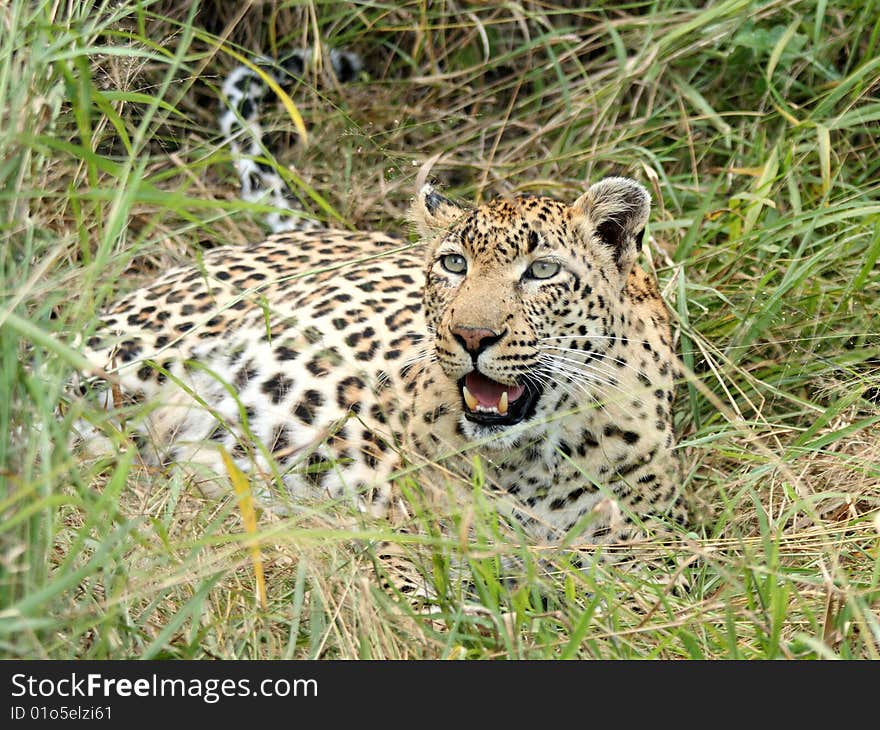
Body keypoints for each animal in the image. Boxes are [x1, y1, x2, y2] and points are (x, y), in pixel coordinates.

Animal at [75, 47, 692, 568]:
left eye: (542, 272)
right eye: (453, 264)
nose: (471, 336)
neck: (535, 459)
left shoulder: (661, 551)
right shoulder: (404, 524)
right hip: (133, 352)